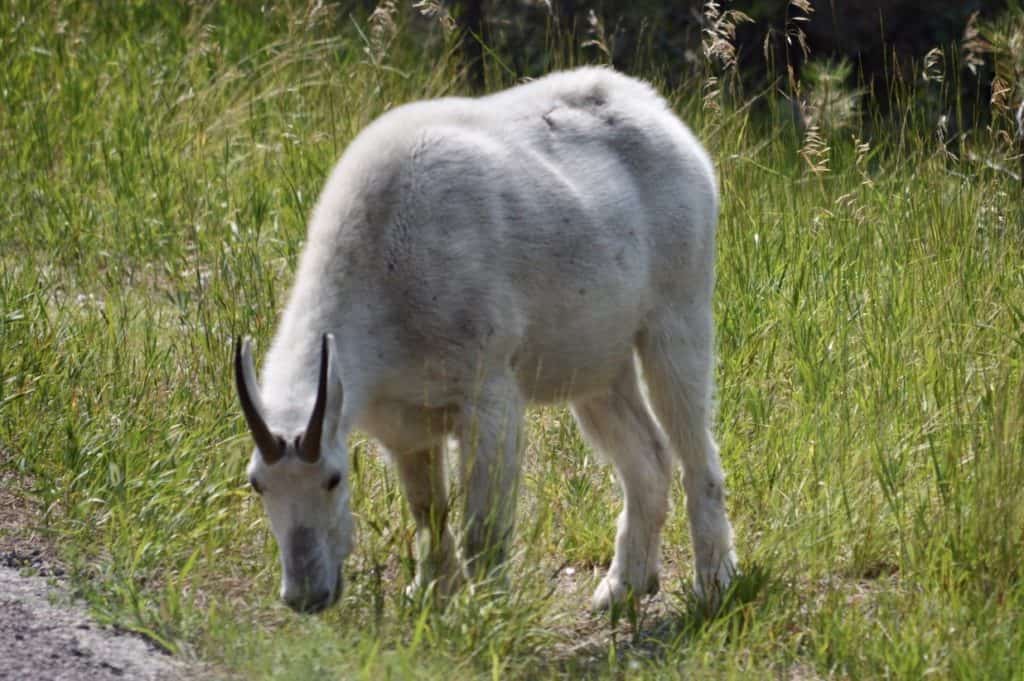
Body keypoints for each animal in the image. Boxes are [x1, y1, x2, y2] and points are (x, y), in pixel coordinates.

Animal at [234, 66, 737, 614]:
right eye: (257, 484)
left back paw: (714, 582)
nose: (306, 596)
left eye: (333, 478)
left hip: (678, 314)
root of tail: (662, 115)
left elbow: (484, 525)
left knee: (695, 450)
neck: (381, 272)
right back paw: (623, 586)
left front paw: (487, 610)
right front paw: (430, 591)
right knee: (648, 456)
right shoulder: (403, 422)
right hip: (598, 363)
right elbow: (427, 509)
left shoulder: (488, 395)